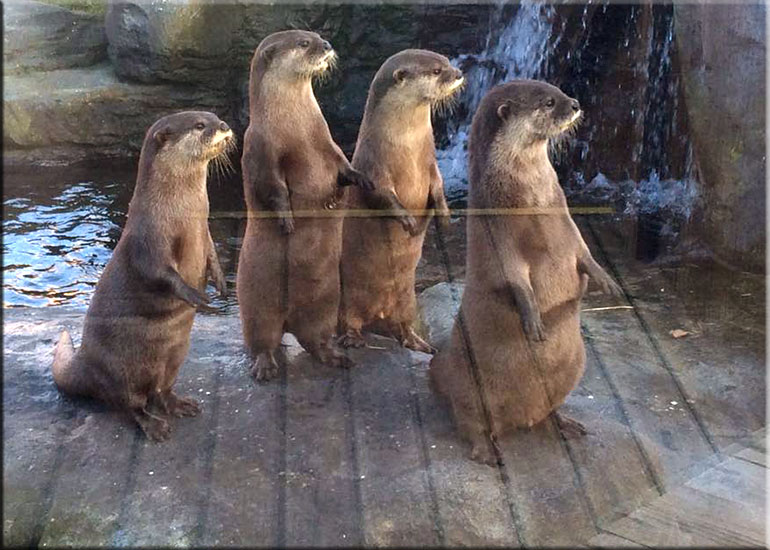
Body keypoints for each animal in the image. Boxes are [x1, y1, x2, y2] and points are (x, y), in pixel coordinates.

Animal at [52, 111, 234, 441]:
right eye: (200, 125)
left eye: (214, 116)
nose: (225, 126)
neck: (182, 213)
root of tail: (85, 361)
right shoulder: (148, 241)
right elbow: (159, 274)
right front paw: (198, 297)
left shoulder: (205, 230)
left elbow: (213, 253)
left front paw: (222, 285)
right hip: (120, 372)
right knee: (129, 404)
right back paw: (154, 426)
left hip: (175, 356)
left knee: (160, 390)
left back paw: (180, 404)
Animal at [237, 30, 385, 381]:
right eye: (304, 43)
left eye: (317, 36)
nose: (327, 45)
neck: (297, 129)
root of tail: (288, 321)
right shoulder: (261, 151)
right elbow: (272, 189)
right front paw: (287, 220)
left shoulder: (326, 141)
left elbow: (344, 166)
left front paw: (362, 180)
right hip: (257, 302)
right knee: (261, 338)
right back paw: (265, 366)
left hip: (325, 303)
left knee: (315, 337)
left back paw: (335, 356)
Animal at [339, 49, 464, 353]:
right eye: (436, 70)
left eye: (446, 61)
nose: (458, 73)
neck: (407, 144)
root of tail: (377, 312)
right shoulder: (373, 168)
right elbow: (382, 196)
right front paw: (407, 220)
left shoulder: (432, 163)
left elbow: (438, 187)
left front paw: (444, 217)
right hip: (347, 294)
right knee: (350, 319)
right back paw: (353, 338)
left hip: (407, 298)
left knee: (402, 324)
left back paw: (419, 343)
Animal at [429, 80, 622, 464]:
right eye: (548, 102)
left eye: (559, 90)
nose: (575, 104)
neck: (531, 198)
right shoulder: (500, 237)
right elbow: (514, 278)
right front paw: (532, 319)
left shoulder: (567, 222)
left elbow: (585, 253)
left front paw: (607, 281)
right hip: (470, 385)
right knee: (468, 420)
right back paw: (486, 451)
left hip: (573, 367)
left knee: (547, 410)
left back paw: (565, 423)